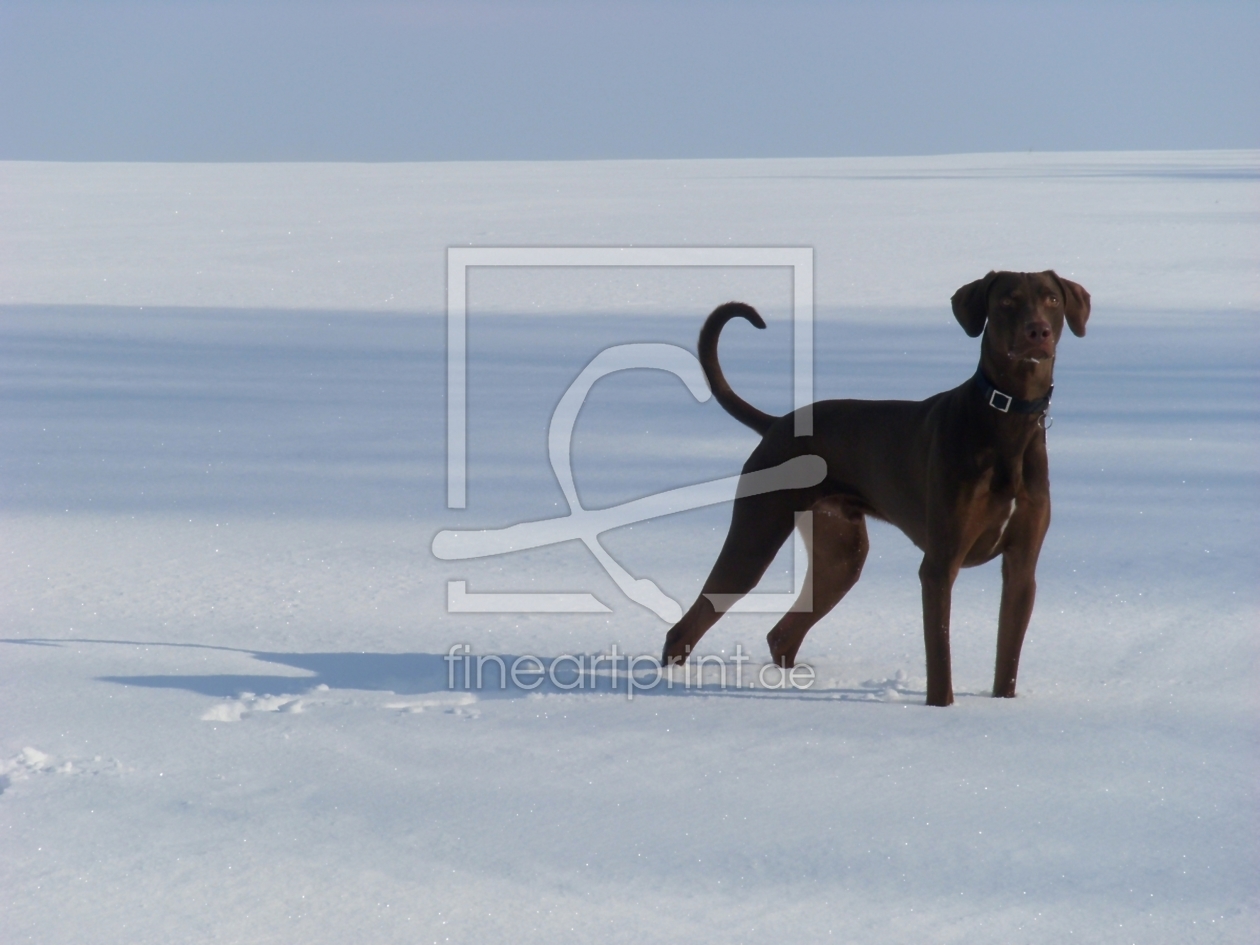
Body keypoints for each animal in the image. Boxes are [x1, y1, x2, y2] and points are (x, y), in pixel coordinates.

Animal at [665, 269, 1088, 705]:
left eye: (1052, 299)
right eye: (1006, 300)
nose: (1037, 331)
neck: (1007, 423)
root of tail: (777, 424)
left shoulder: (1022, 566)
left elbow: (1008, 659)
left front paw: (1003, 706)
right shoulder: (940, 564)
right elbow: (940, 656)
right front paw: (941, 708)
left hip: (842, 555)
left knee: (782, 634)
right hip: (756, 538)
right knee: (686, 628)